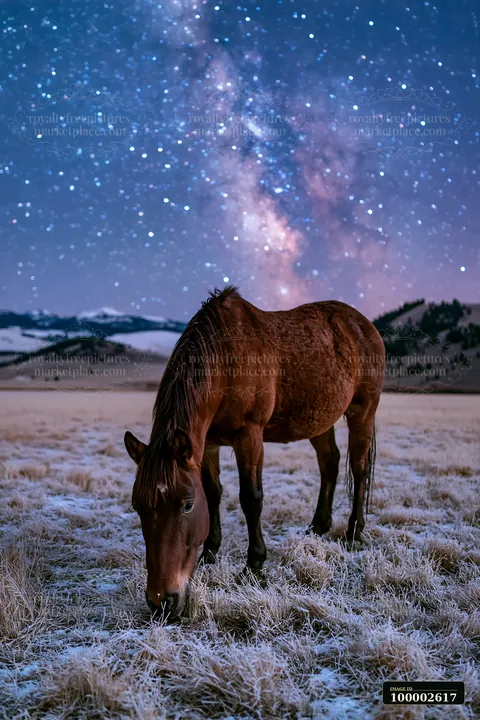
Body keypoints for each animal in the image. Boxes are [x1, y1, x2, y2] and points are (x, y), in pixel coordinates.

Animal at [124, 286, 385, 617]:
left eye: (186, 505)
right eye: (138, 506)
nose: (162, 601)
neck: (224, 361)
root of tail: (363, 324)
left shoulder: (249, 435)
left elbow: (250, 498)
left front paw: (254, 565)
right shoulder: (206, 444)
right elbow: (213, 493)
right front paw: (210, 552)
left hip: (363, 411)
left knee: (359, 469)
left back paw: (354, 532)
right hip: (319, 420)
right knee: (330, 463)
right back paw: (318, 526)